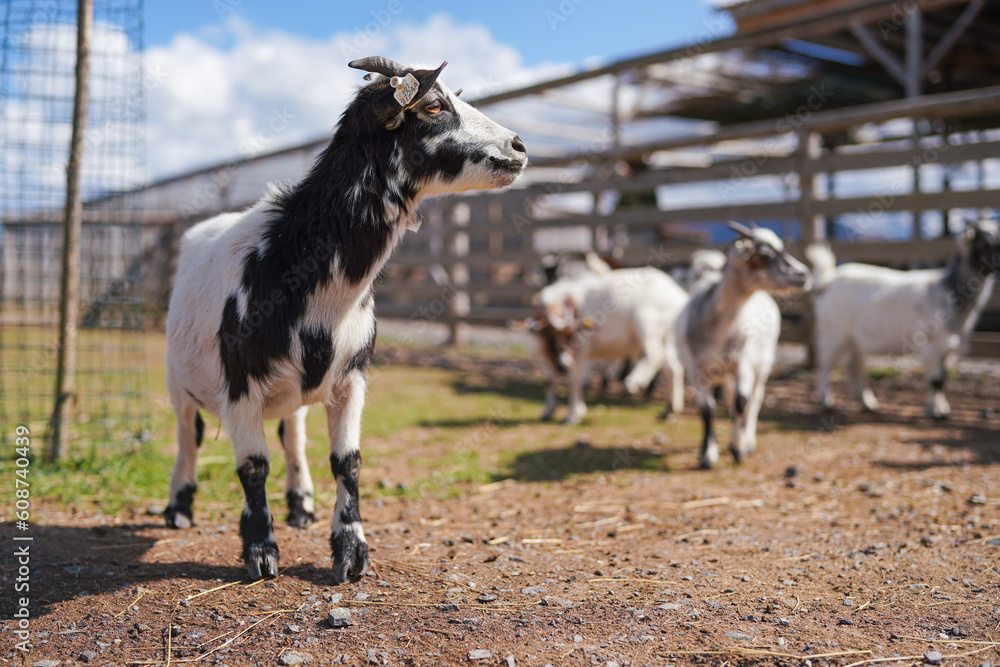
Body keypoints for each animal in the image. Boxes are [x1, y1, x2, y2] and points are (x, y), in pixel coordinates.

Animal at [164, 57, 527, 582]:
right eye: (434, 106)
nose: (519, 147)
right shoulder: (240, 384)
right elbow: (252, 465)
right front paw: (260, 551)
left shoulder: (351, 377)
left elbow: (347, 462)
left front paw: (351, 551)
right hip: (177, 379)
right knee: (187, 437)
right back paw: (178, 507)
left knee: (292, 433)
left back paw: (300, 504)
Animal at [527, 267, 688, 425]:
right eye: (551, 338)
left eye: (573, 336)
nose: (563, 366)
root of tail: (678, 297)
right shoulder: (547, 354)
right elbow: (550, 381)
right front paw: (548, 412)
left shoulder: (582, 352)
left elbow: (576, 382)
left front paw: (573, 416)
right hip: (667, 336)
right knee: (673, 369)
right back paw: (669, 411)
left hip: (647, 323)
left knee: (655, 355)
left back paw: (633, 383)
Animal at [676, 223, 811, 468]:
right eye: (763, 255)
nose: (803, 274)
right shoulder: (695, 370)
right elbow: (707, 409)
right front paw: (707, 454)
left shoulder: (743, 364)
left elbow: (741, 403)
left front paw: (738, 449)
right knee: (731, 400)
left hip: (762, 365)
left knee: (753, 400)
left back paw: (747, 441)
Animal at [808, 219, 1000, 419]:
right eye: (983, 244)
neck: (947, 292)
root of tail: (827, 281)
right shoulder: (932, 346)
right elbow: (935, 380)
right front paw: (935, 412)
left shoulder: (948, 350)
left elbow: (942, 380)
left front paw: (943, 408)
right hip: (834, 333)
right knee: (824, 365)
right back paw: (827, 401)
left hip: (854, 340)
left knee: (853, 367)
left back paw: (867, 402)